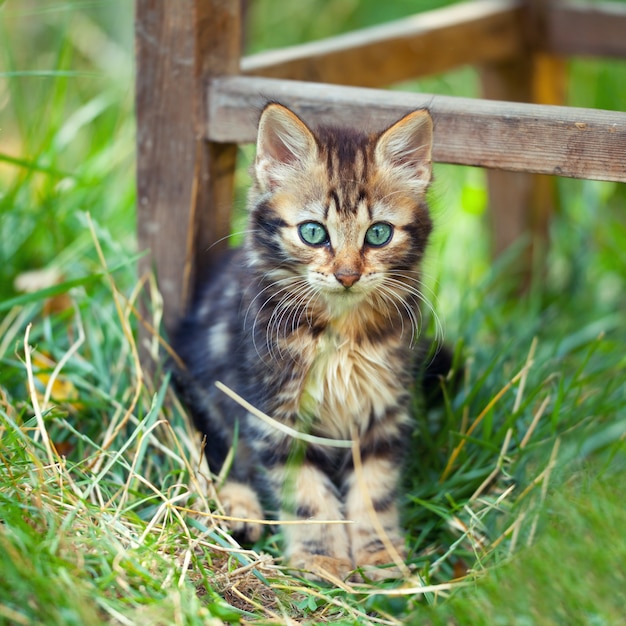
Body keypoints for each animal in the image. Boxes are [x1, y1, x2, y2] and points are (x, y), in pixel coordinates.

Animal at [173, 103, 438, 580]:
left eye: (379, 234)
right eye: (314, 232)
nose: (347, 275)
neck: (341, 334)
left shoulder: (382, 413)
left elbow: (375, 491)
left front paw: (378, 554)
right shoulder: (276, 414)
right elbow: (307, 497)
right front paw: (322, 559)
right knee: (221, 454)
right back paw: (239, 511)